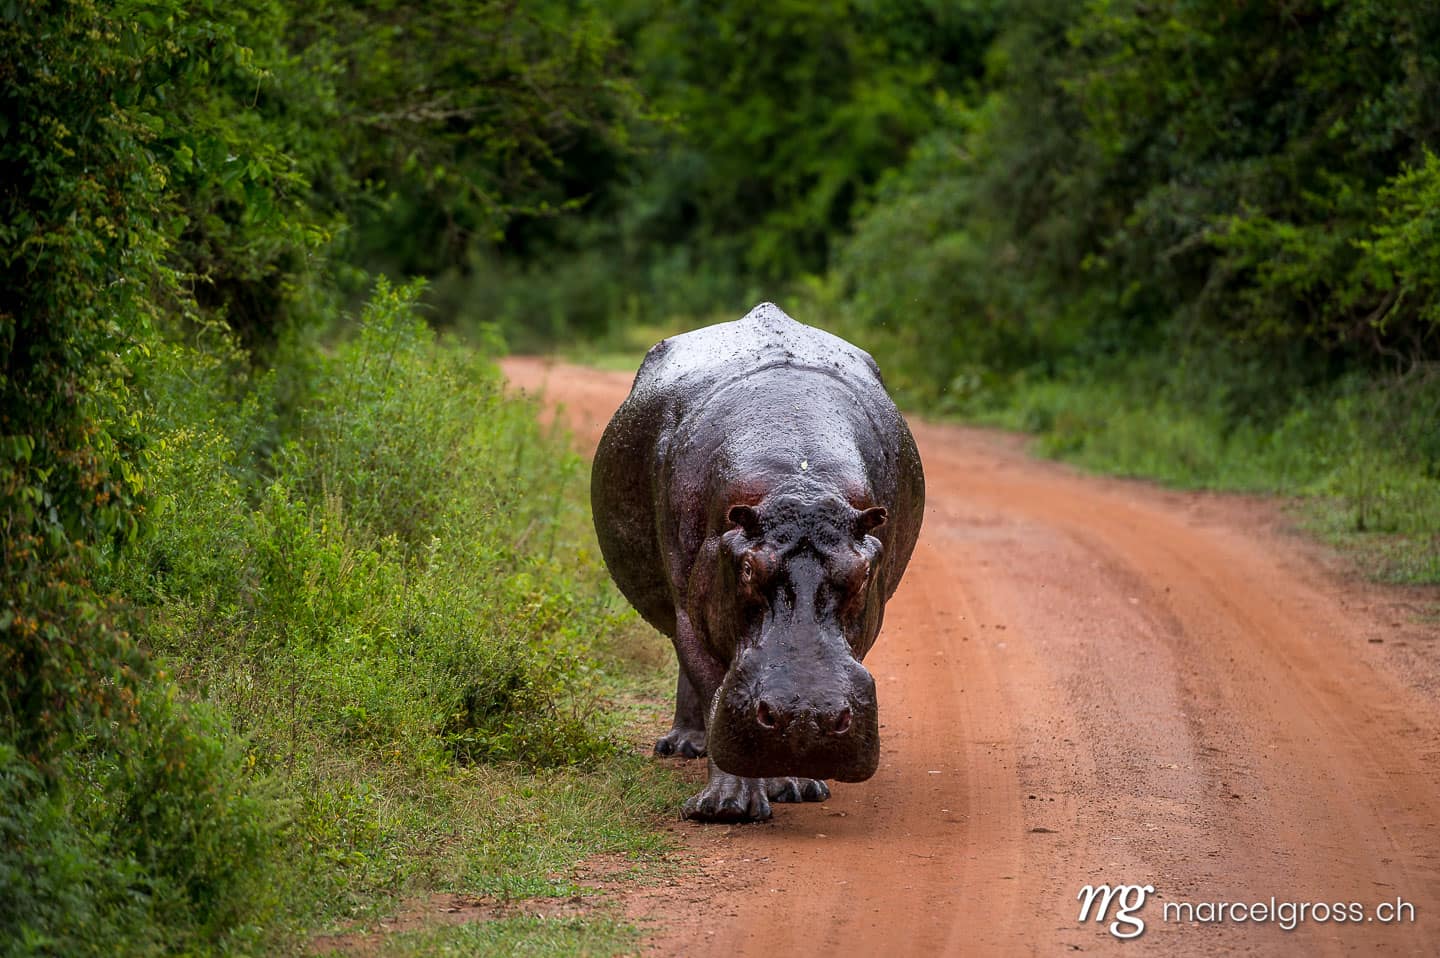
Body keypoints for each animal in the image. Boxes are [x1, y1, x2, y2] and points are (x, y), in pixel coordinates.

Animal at [591, 303, 924, 822]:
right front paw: (727, 806)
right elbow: (712, 684)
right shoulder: (692, 610)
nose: (805, 717)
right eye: (748, 569)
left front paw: (798, 785)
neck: (799, 481)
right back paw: (684, 746)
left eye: (863, 574)